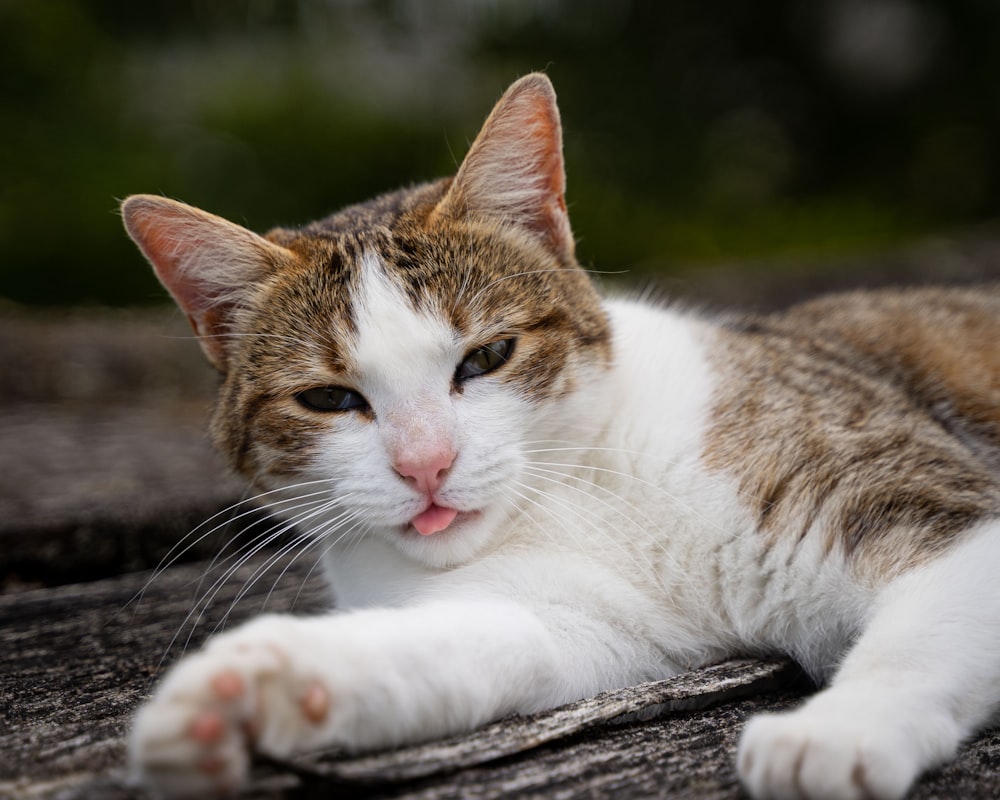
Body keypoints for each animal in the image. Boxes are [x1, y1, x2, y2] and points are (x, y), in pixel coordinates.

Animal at [123, 72, 1000, 796]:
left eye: (488, 356)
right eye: (330, 399)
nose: (426, 465)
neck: (575, 491)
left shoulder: (925, 496)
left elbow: (924, 626)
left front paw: (841, 728)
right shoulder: (573, 620)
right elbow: (460, 647)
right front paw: (259, 688)